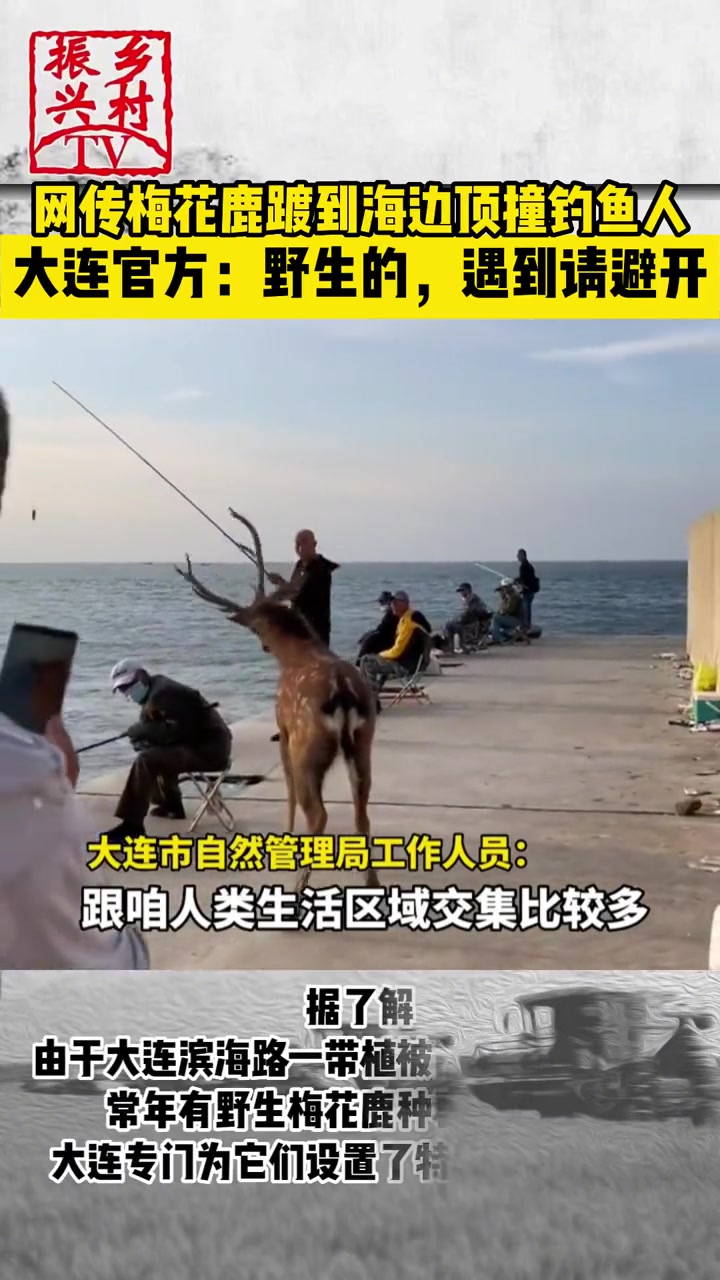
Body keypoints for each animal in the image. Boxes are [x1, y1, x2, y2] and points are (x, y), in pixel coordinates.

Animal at [175, 510, 380, 894]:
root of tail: (342, 693)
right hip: (363, 741)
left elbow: (287, 792)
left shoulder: (282, 729)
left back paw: (298, 886)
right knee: (362, 813)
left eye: (255, 625)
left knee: (318, 812)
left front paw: (285, 836)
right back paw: (371, 883)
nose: (263, 643)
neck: (295, 654)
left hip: (307, 744)